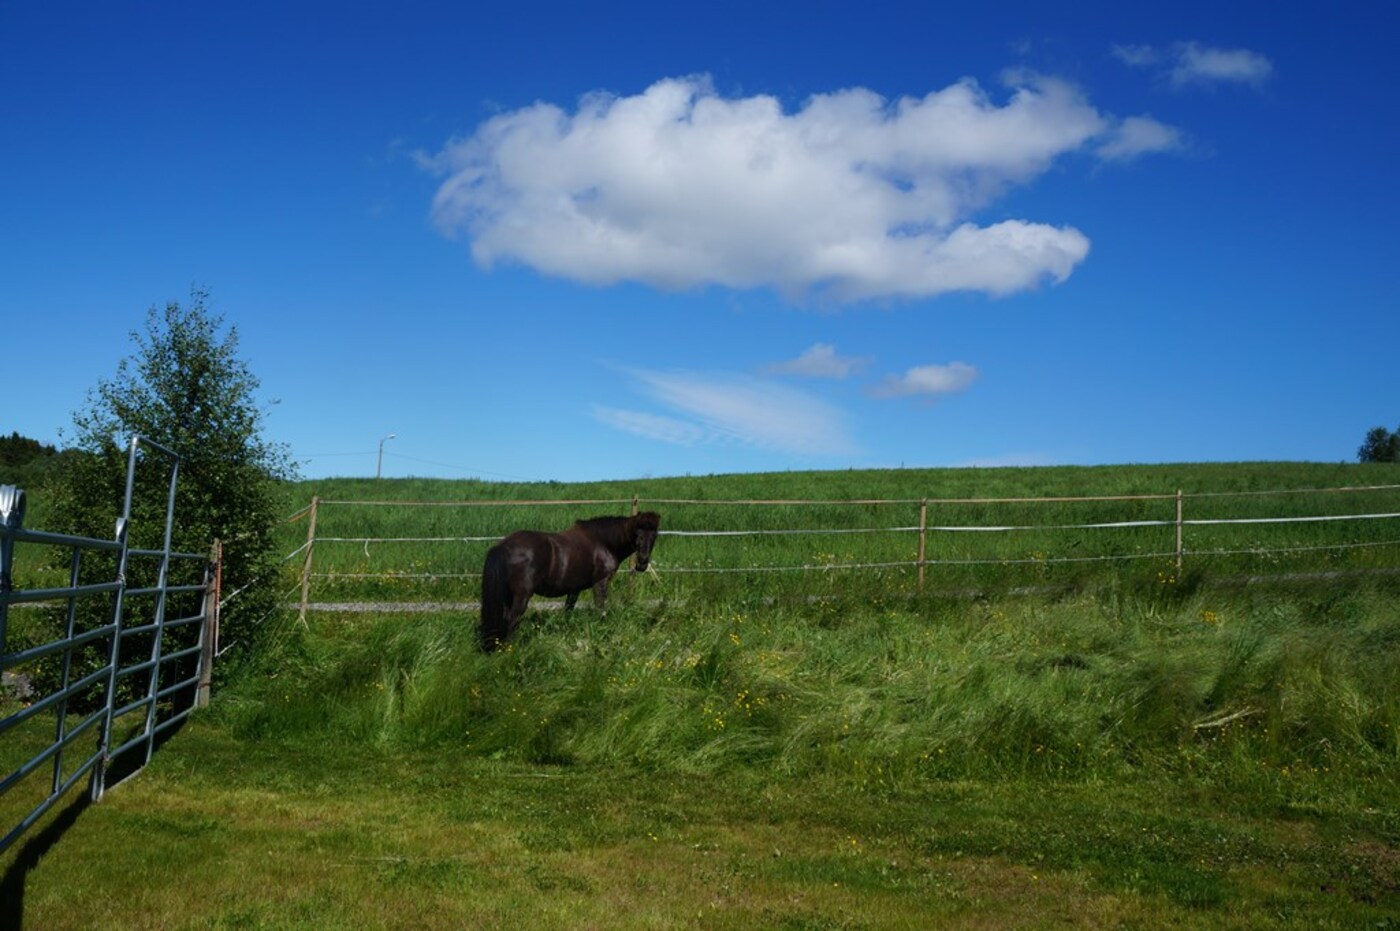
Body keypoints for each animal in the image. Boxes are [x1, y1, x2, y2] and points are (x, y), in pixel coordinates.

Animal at [478, 511, 661, 652]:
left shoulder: (574, 589)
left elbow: (568, 611)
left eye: (654, 535)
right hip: (522, 595)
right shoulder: (600, 583)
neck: (603, 542)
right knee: (512, 619)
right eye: (638, 535)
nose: (642, 563)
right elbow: (601, 610)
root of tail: (504, 546)